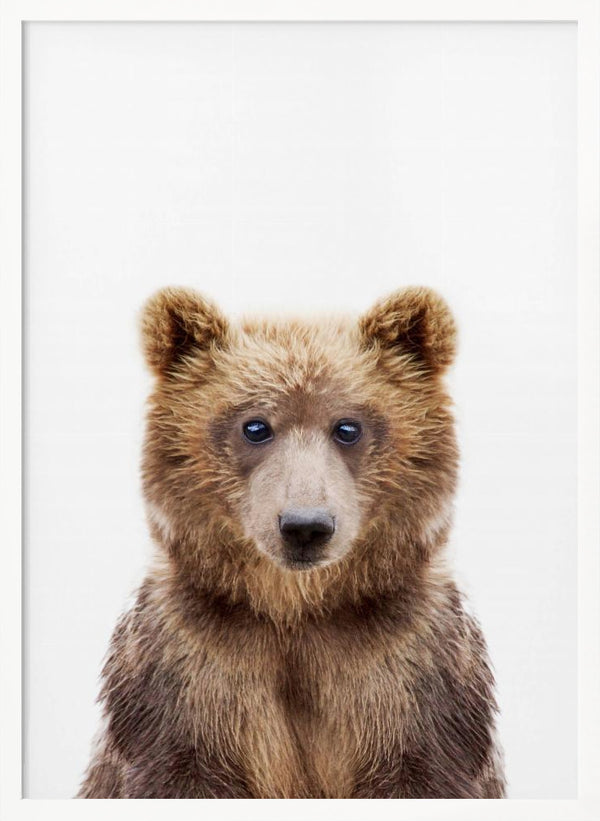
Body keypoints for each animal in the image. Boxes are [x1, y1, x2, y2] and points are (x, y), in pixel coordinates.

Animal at [77, 286, 505, 799]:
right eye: (255, 426)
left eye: (348, 427)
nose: (305, 526)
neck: (296, 610)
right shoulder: (187, 673)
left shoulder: (411, 673)